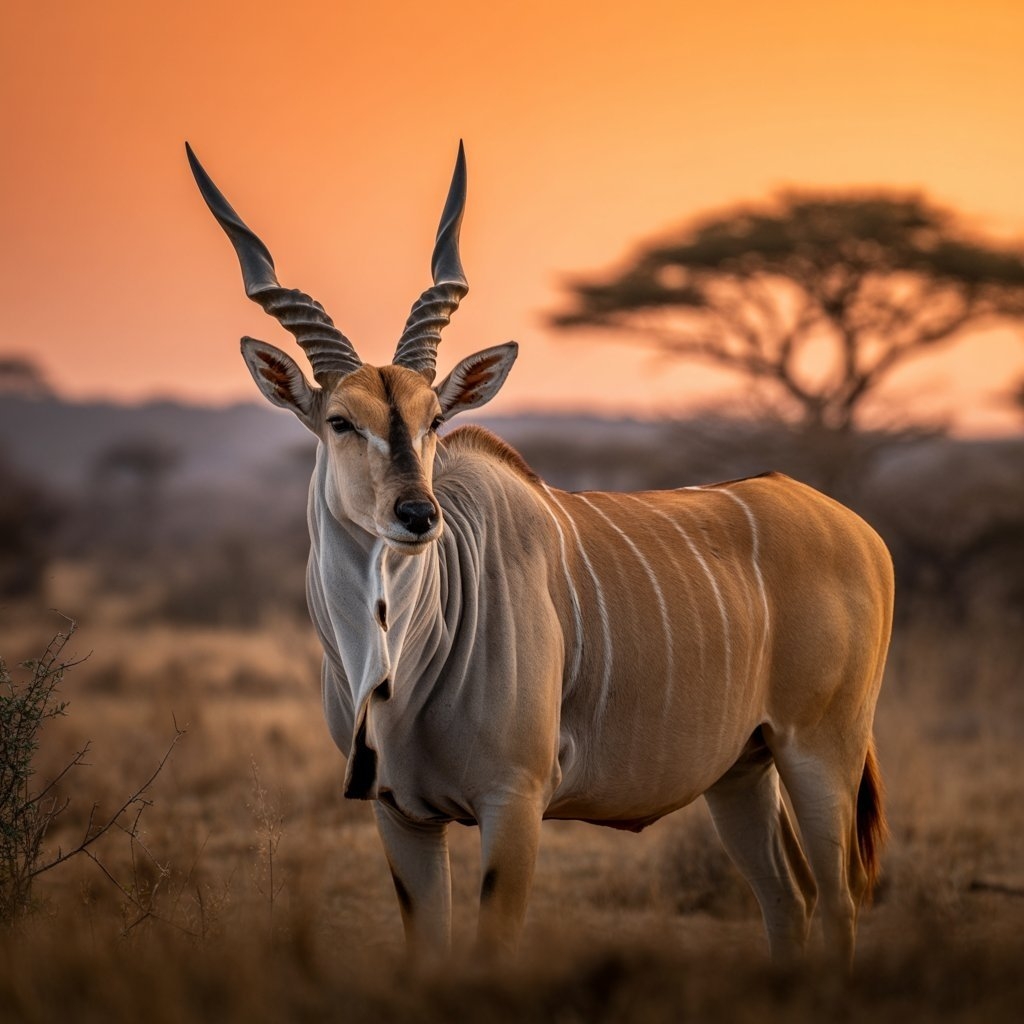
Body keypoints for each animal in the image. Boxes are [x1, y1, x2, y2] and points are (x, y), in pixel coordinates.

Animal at [187, 142, 893, 967]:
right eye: (340, 420)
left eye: (434, 419)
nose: (417, 514)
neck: (399, 663)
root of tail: (857, 531)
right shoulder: (401, 813)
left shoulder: (513, 803)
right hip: (742, 772)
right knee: (791, 898)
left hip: (821, 752)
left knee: (838, 901)